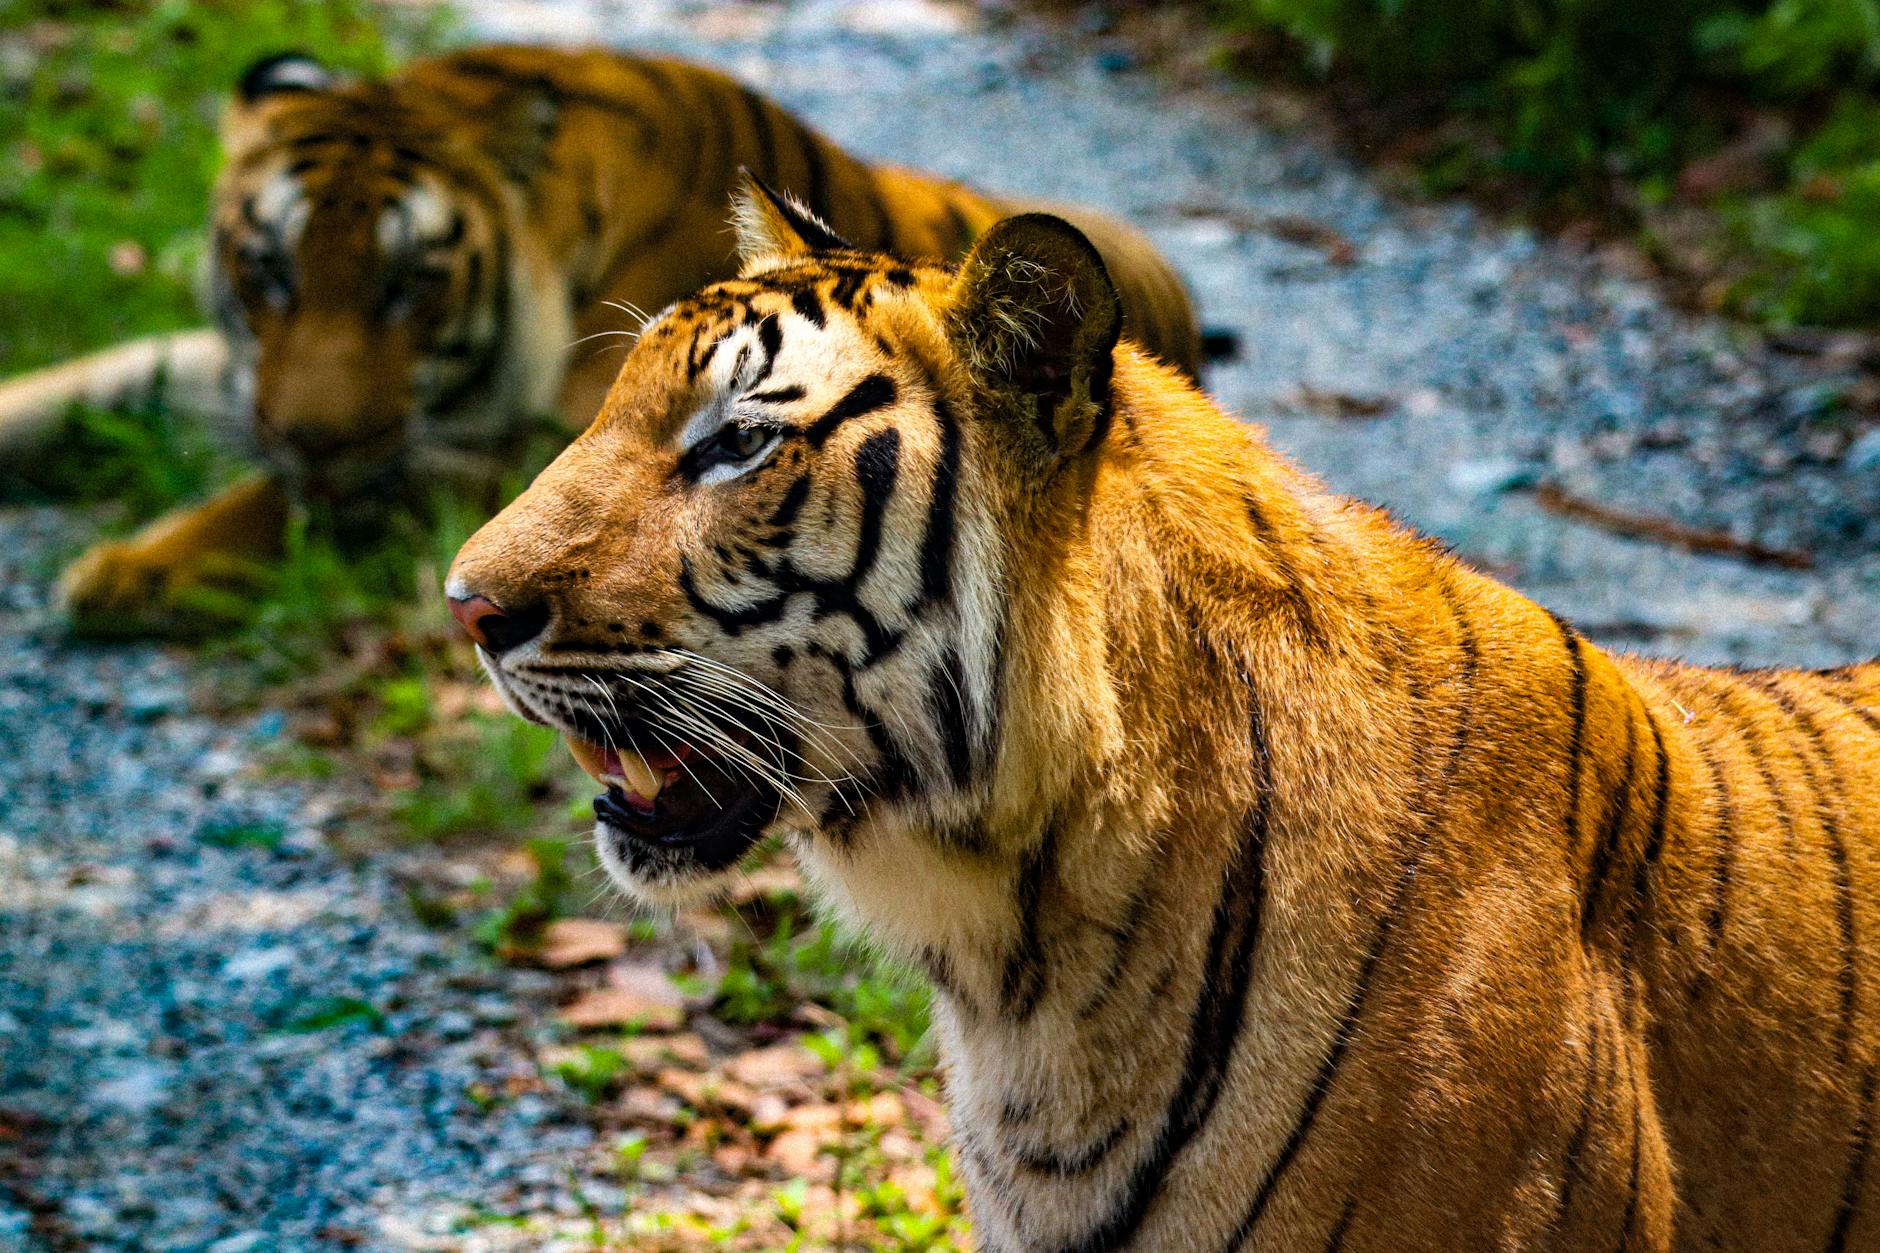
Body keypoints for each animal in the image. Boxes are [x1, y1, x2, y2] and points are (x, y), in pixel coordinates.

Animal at [0, 43, 1206, 637]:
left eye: (407, 287)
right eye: (271, 273)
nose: (313, 438)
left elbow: (307, 495)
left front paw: (130, 570)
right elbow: (93, 382)